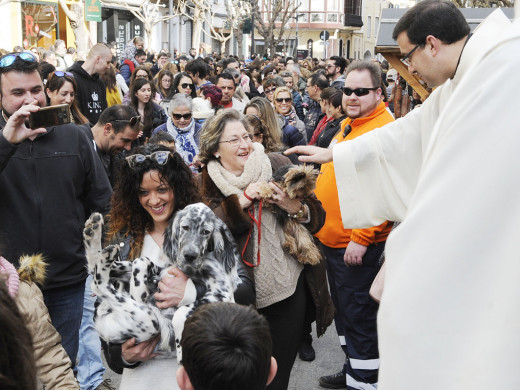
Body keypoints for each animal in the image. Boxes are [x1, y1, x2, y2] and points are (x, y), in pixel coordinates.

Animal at [84, 203, 242, 362]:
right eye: (185, 227)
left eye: (206, 232)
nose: (190, 255)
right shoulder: (164, 270)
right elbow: (141, 260)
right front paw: (138, 288)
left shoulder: (223, 293)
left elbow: (180, 312)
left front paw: (181, 350)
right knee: (95, 268)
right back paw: (94, 232)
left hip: (150, 322)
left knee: (99, 284)